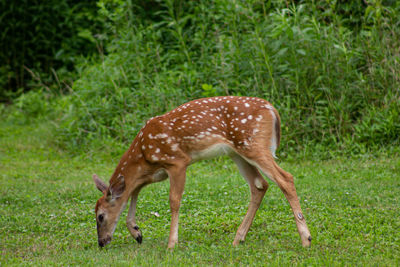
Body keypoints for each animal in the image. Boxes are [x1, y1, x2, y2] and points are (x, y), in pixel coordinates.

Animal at [92, 96, 310, 249]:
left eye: (100, 216)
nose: (101, 242)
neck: (143, 155)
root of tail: (273, 111)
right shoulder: (152, 174)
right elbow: (133, 192)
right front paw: (136, 232)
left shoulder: (177, 161)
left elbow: (174, 201)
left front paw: (171, 244)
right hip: (237, 152)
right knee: (259, 185)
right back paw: (238, 239)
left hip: (253, 144)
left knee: (286, 178)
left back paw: (306, 239)